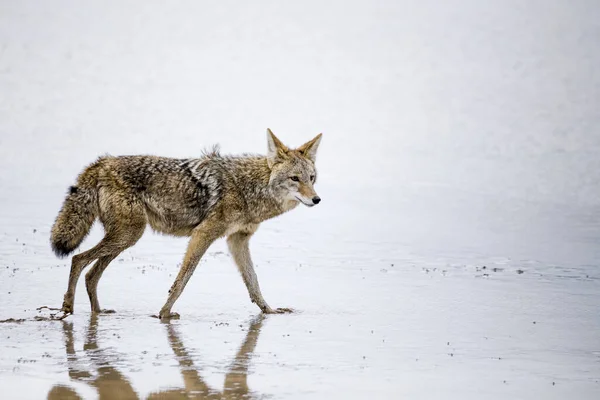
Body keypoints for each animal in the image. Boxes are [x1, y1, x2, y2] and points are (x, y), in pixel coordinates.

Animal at [50, 130, 324, 320]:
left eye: (311, 178)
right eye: (295, 179)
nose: (316, 199)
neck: (249, 188)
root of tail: (102, 162)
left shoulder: (237, 240)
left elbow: (253, 282)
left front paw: (269, 311)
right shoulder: (203, 234)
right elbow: (183, 279)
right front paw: (164, 313)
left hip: (125, 239)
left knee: (90, 273)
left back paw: (98, 312)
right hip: (128, 235)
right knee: (78, 259)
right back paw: (68, 306)